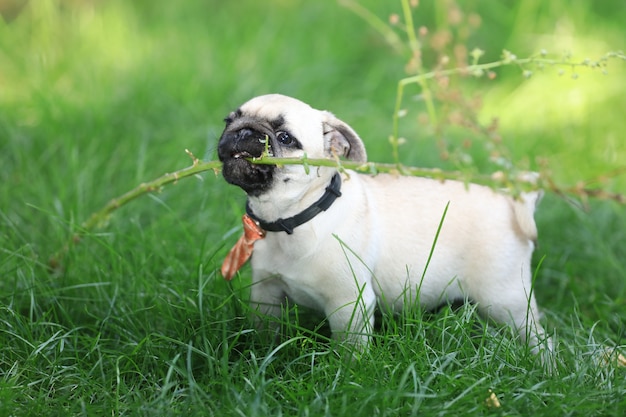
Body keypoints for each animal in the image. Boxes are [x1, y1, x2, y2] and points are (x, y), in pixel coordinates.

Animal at [217, 93, 548, 354]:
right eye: (228, 120)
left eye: (285, 138)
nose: (244, 130)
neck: (292, 220)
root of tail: (507, 199)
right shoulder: (266, 295)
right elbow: (264, 332)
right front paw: (260, 354)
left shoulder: (349, 304)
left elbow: (349, 351)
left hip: (504, 299)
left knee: (538, 338)